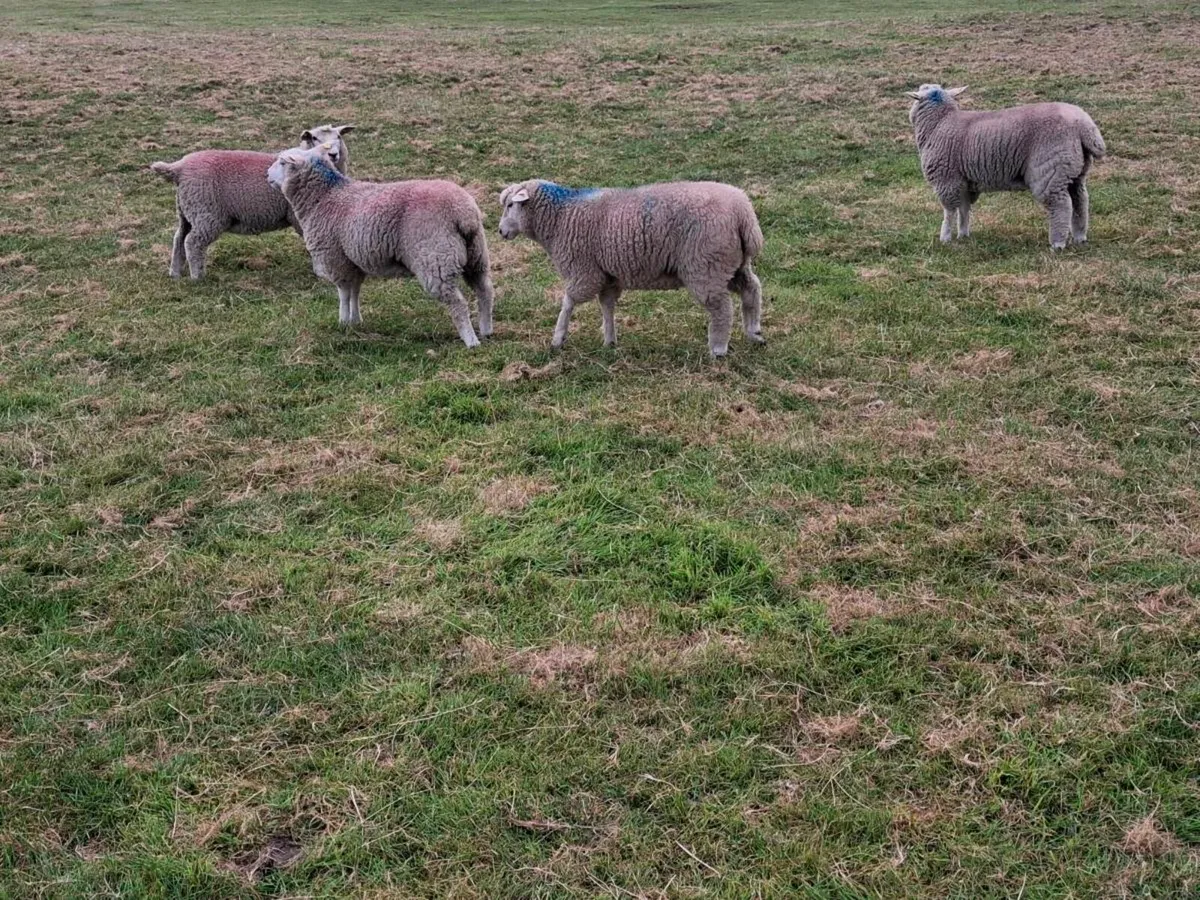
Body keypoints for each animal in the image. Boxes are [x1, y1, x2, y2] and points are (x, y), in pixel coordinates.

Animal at [149, 125, 354, 279]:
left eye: (338, 137)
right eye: (315, 138)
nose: (333, 154)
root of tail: (179, 168)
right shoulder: (299, 216)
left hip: (187, 211)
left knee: (179, 238)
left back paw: (175, 274)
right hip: (206, 213)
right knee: (193, 242)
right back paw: (198, 277)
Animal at [267, 144, 494, 347]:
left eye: (282, 162)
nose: (267, 174)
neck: (325, 196)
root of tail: (463, 213)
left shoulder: (336, 259)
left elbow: (344, 293)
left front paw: (343, 321)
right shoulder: (353, 261)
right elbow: (355, 291)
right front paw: (355, 321)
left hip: (435, 258)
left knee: (457, 303)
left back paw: (471, 340)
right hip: (476, 255)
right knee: (485, 290)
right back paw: (486, 330)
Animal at [497, 179, 764, 357]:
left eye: (510, 205)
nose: (500, 231)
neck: (561, 216)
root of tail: (743, 212)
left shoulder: (585, 272)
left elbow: (568, 302)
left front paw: (558, 337)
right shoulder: (607, 276)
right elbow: (606, 306)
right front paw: (609, 340)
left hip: (706, 265)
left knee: (722, 308)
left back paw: (718, 349)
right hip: (733, 263)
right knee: (751, 290)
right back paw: (754, 333)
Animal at [907, 84, 1105, 249]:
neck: (939, 123)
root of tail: (1085, 126)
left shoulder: (946, 179)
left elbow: (949, 211)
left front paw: (945, 238)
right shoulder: (964, 182)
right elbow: (964, 209)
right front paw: (963, 234)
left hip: (1050, 170)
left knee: (1060, 205)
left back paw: (1058, 243)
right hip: (1074, 170)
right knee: (1080, 201)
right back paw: (1080, 237)